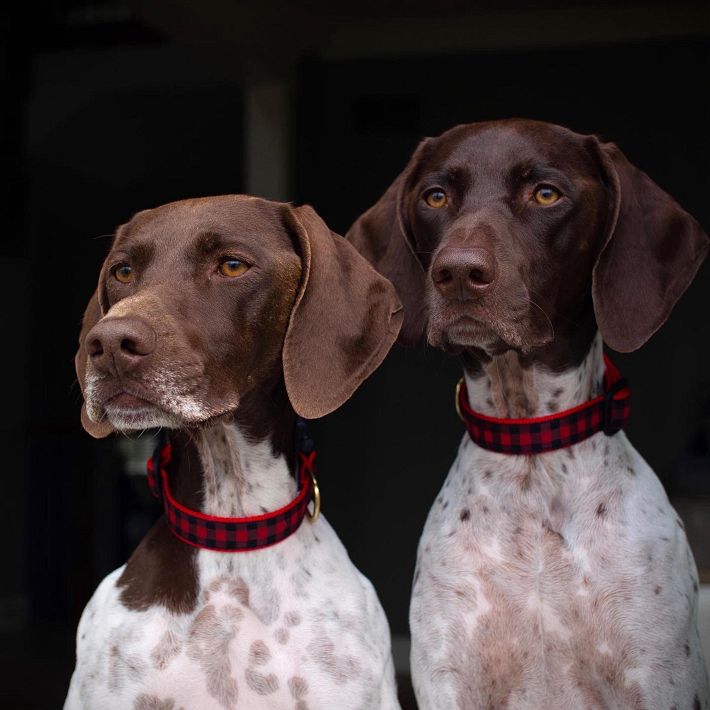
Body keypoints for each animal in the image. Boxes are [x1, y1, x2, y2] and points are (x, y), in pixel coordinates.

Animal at [350, 119, 710, 708]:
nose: (458, 272)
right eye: (436, 196)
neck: (530, 450)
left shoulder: (658, 680)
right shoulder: (450, 680)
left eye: (545, 194)